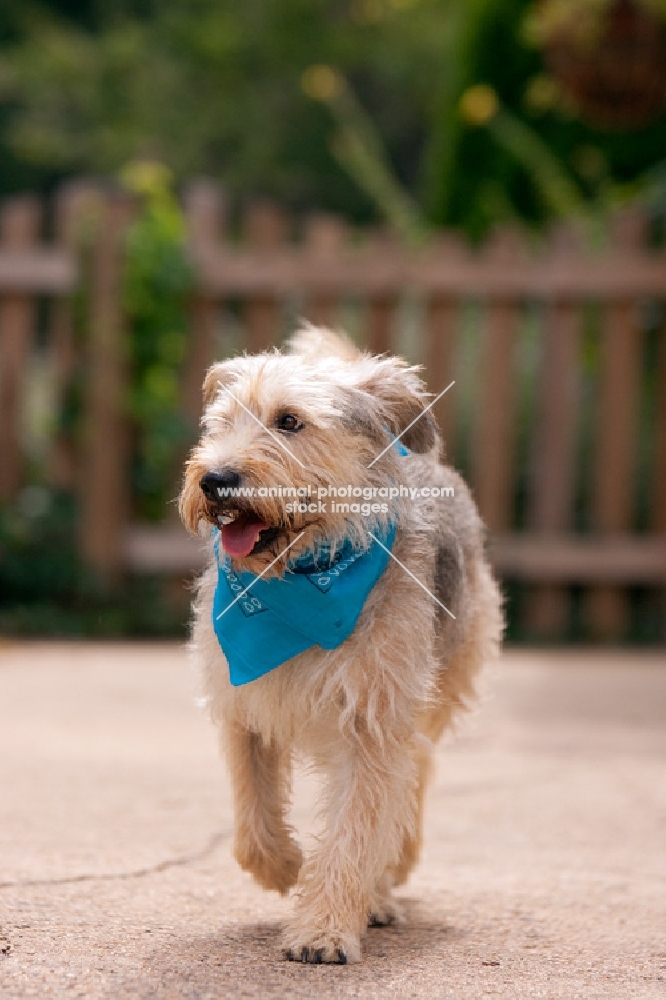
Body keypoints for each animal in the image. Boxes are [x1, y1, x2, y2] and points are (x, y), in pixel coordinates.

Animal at [179, 326, 500, 960]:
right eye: (221, 423)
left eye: (289, 421)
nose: (214, 479)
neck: (302, 577)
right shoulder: (242, 701)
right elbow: (252, 816)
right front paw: (284, 867)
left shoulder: (373, 719)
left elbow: (358, 828)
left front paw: (325, 927)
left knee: (411, 780)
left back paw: (379, 891)